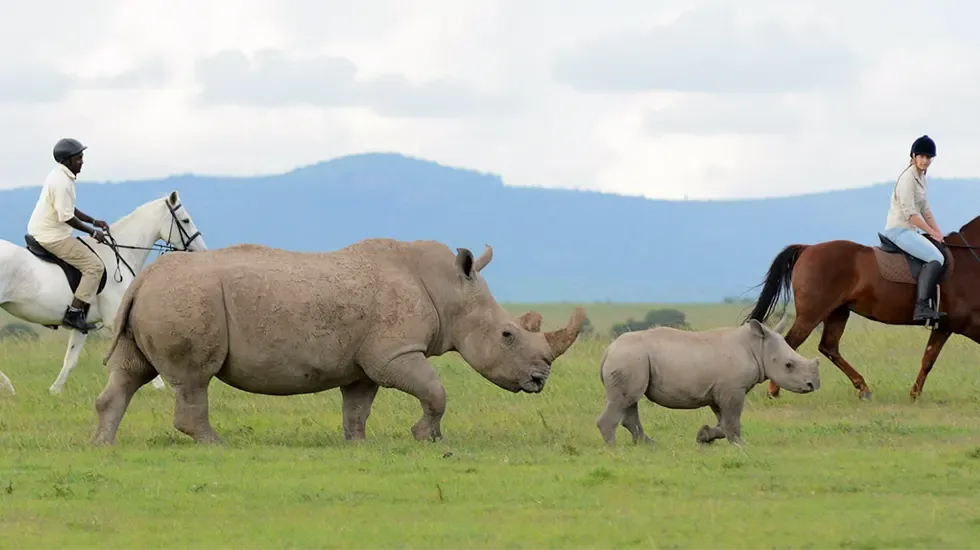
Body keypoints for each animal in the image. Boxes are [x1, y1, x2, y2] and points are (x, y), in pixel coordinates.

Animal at [92, 239, 586, 445]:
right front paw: (426, 438)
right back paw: (215, 443)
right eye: (508, 335)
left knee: (130, 372)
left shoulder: (365, 361)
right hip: (188, 298)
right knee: (195, 379)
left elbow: (358, 406)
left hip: (157, 298)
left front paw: (357, 443)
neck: (451, 291)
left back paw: (103, 444)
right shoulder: (395, 353)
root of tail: (142, 278)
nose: (539, 380)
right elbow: (436, 391)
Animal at [595, 314, 820, 446]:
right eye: (789, 365)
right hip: (629, 358)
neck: (758, 347)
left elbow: (723, 421)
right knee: (624, 400)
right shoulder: (733, 389)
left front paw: (703, 436)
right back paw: (613, 448)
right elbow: (732, 420)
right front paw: (740, 445)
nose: (813, 385)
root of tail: (608, 350)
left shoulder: (720, 390)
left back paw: (648, 445)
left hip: (632, 359)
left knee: (630, 401)